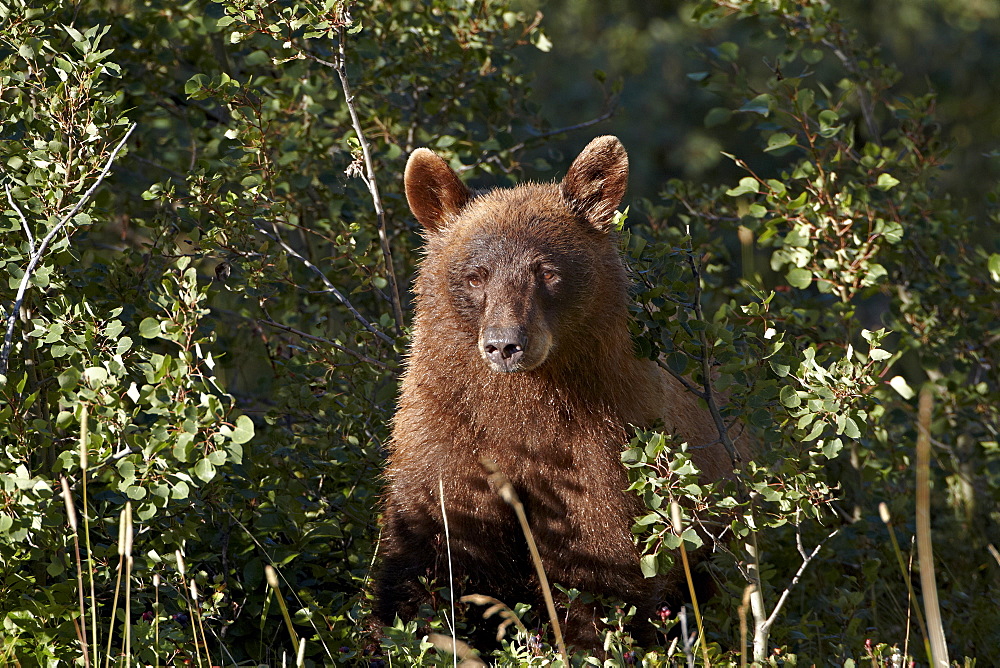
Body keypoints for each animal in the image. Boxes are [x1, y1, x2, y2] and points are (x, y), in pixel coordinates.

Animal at [374, 136, 744, 652]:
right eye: (476, 275)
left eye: (546, 271)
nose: (505, 344)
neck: (522, 415)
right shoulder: (444, 440)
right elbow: (425, 557)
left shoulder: (601, 454)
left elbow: (600, 574)